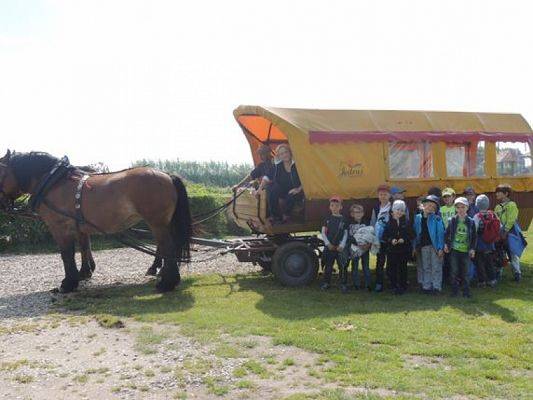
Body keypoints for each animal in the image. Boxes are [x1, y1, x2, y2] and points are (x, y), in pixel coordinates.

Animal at [0, 150, 191, 294]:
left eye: (0, 172)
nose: (2, 206)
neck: (53, 183)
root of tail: (167, 175)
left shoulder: (60, 228)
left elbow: (67, 255)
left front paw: (68, 283)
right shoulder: (79, 226)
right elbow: (84, 248)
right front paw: (84, 273)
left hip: (157, 223)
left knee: (167, 247)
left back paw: (166, 283)